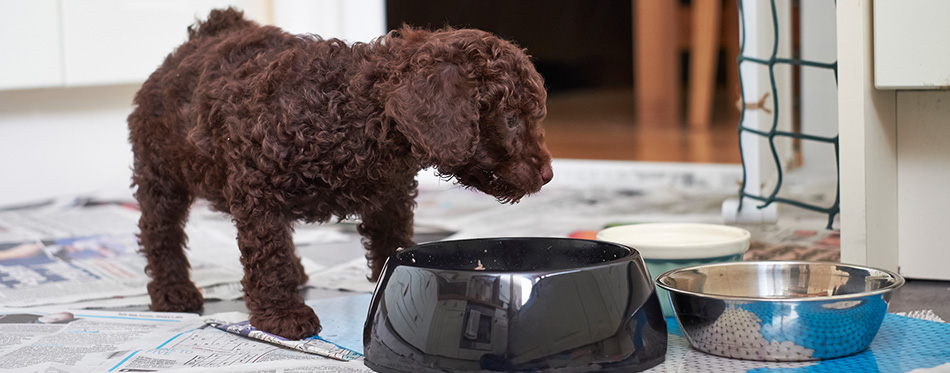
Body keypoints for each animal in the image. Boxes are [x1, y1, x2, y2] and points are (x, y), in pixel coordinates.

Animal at [130, 8, 556, 340]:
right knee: (160, 232)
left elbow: (391, 245)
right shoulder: (259, 191)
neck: (355, 112)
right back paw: (172, 290)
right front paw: (281, 314)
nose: (549, 174)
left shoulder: (390, 198)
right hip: (160, 170)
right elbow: (269, 255)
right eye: (512, 118)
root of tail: (205, 34)